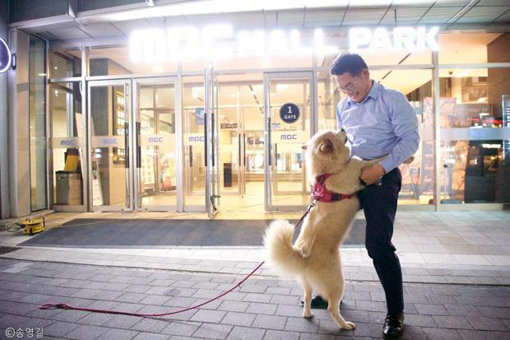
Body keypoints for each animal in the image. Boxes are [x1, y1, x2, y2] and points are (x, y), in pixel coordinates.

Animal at [264, 129, 380, 330]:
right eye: (335, 133)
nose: (343, 128)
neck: (327, 172)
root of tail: (303, 257)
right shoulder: (358, 169)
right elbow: (373, 160)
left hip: (308, 284)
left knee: (307, 296)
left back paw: (308, 314)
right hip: (338, 283)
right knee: (332, 308)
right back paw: (345, 325)